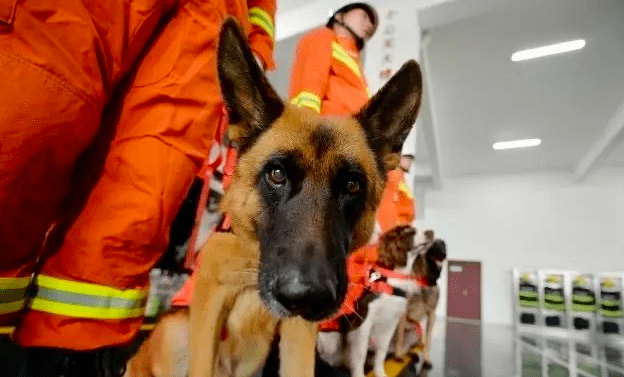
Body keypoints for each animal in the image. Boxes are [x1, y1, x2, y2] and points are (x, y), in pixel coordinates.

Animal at [124, 16, 424, 376]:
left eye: (352, 186)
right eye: (277, 174)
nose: (306, 296)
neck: (252, 263)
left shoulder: (299, 333)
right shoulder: (210, 306)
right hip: (176, 332)